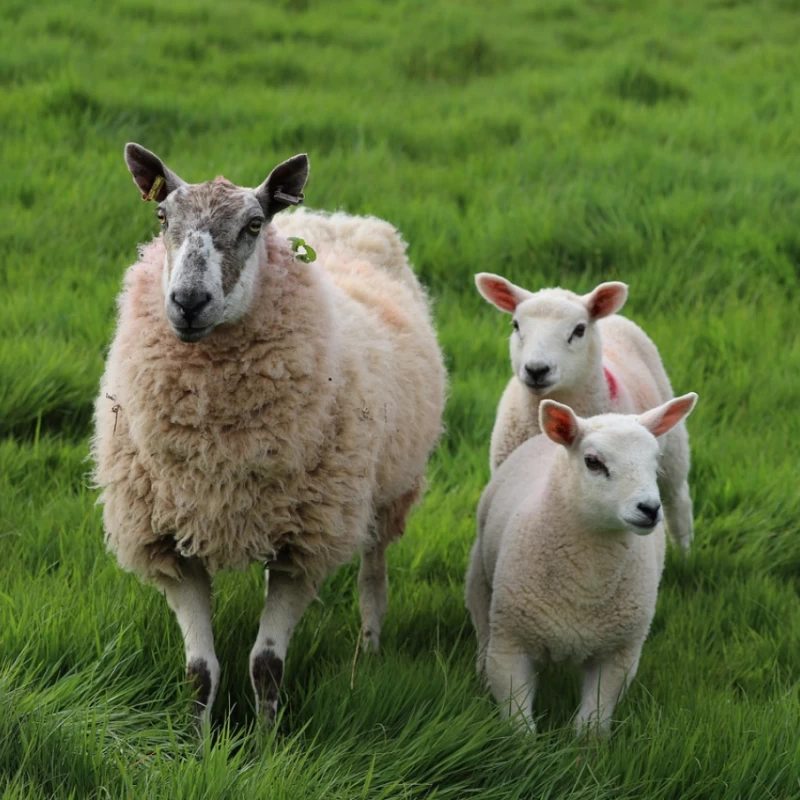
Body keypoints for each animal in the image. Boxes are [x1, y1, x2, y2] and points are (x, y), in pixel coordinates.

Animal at [92, 144, 450, 724]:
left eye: (253, 225)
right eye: (162, 218)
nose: (187, 301)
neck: (218, 448)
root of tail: (335, 218)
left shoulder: (304, 546)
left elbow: (265, 665)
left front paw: (266, 739)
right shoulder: (170, 543)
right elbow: (200, 672)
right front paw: (197, 739)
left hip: (388, 487)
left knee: (373, 573)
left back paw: (370, 650)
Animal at [466, 390, 696, 736]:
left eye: (655, 462)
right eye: (593, 462)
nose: (650, 509)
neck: (586, 583)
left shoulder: (619, 654)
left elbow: (592, 724)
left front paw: (586, 748)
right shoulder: (510, 644)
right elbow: (519, 724)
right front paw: (521, 746)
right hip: (480, 578)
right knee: (481, 626)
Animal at [478, 274, 696, 552]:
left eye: (579, 330)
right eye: (516, 325)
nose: (537, 369)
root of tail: (613, 318)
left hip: (674, 452)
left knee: (678, 502)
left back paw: (684, 553)